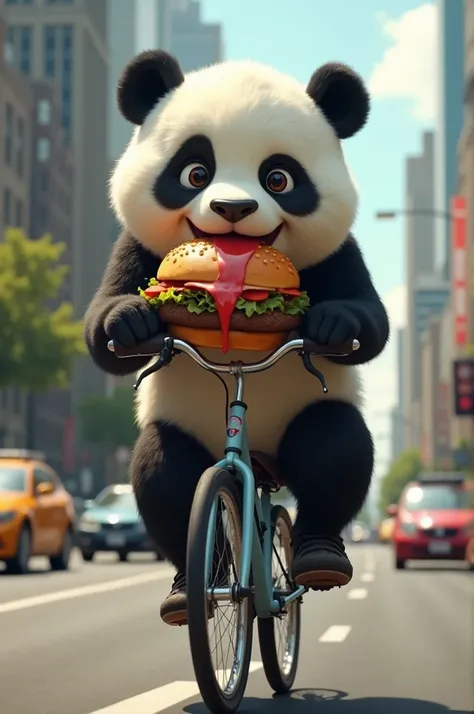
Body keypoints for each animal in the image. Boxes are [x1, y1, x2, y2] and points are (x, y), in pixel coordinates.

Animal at [85, 50, 388, 624]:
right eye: (195, 172)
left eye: (279, 178)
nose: (233, 208)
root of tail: (261, 462)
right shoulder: (131, 245)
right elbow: (101, 334)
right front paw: (129, 321)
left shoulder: (341, 252)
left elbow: (372, 322)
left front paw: (333, 324)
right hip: (189, 429)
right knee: (165, 470)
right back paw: (195, 584)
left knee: (333, 442)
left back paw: (319, 556)